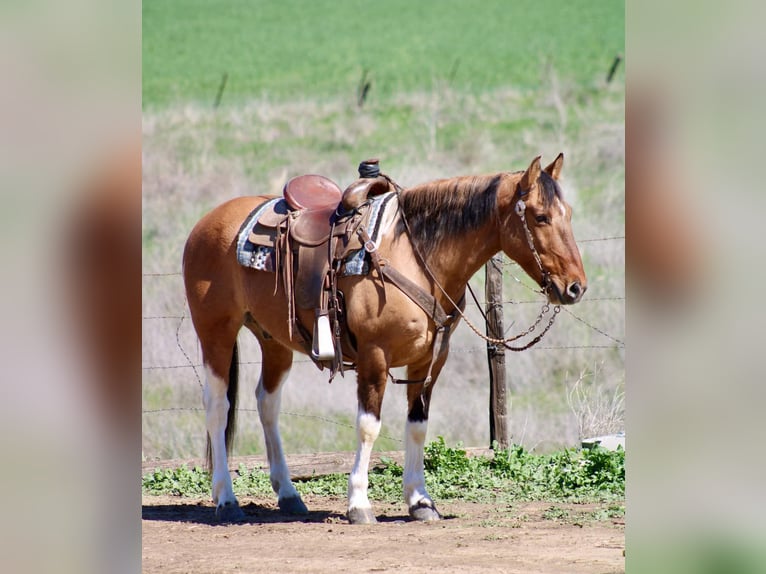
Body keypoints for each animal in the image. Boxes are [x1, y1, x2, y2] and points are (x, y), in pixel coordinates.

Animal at [182, 154, 587, 524]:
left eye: (568, 213)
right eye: (540, 217)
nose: (575, 287)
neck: (415, 255)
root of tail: (207, 222)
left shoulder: (429, 360)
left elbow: (418, 426)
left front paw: (420, 501)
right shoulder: (373, 357)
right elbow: (368, 426)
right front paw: (359, 504)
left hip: (274, 340)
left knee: (267, 404)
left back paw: (289, 494)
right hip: (216, 331)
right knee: (217, 407)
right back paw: (226, 499)